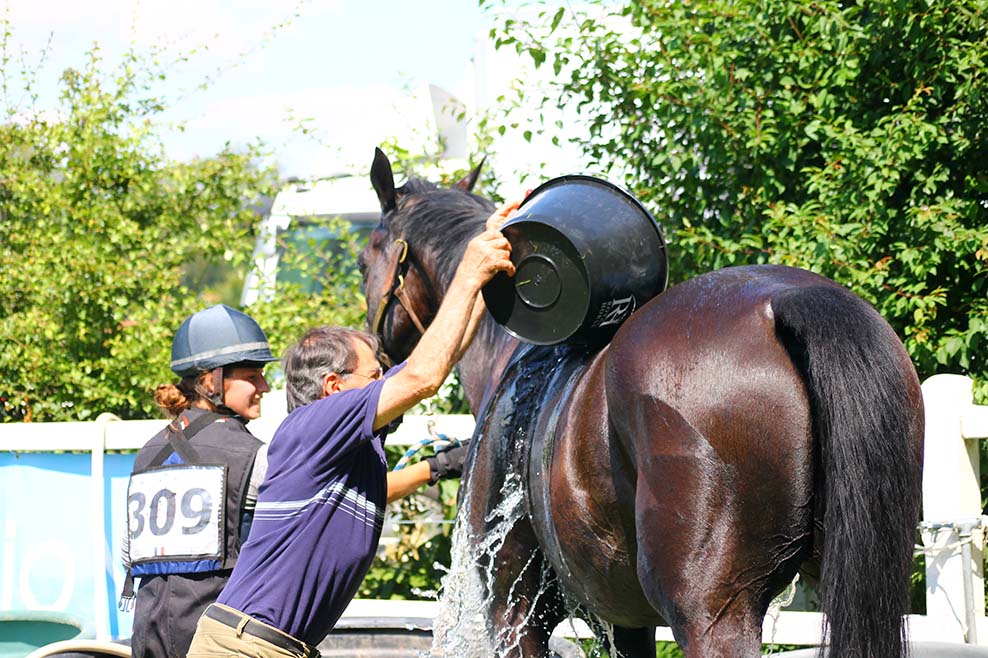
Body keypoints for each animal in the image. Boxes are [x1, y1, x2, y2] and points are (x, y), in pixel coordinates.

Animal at [358, 148, 925, 658]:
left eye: (365, 259)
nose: (378, 353)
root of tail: (784, 301)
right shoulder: (628, 622)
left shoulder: (515, 615)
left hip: (712, 614)